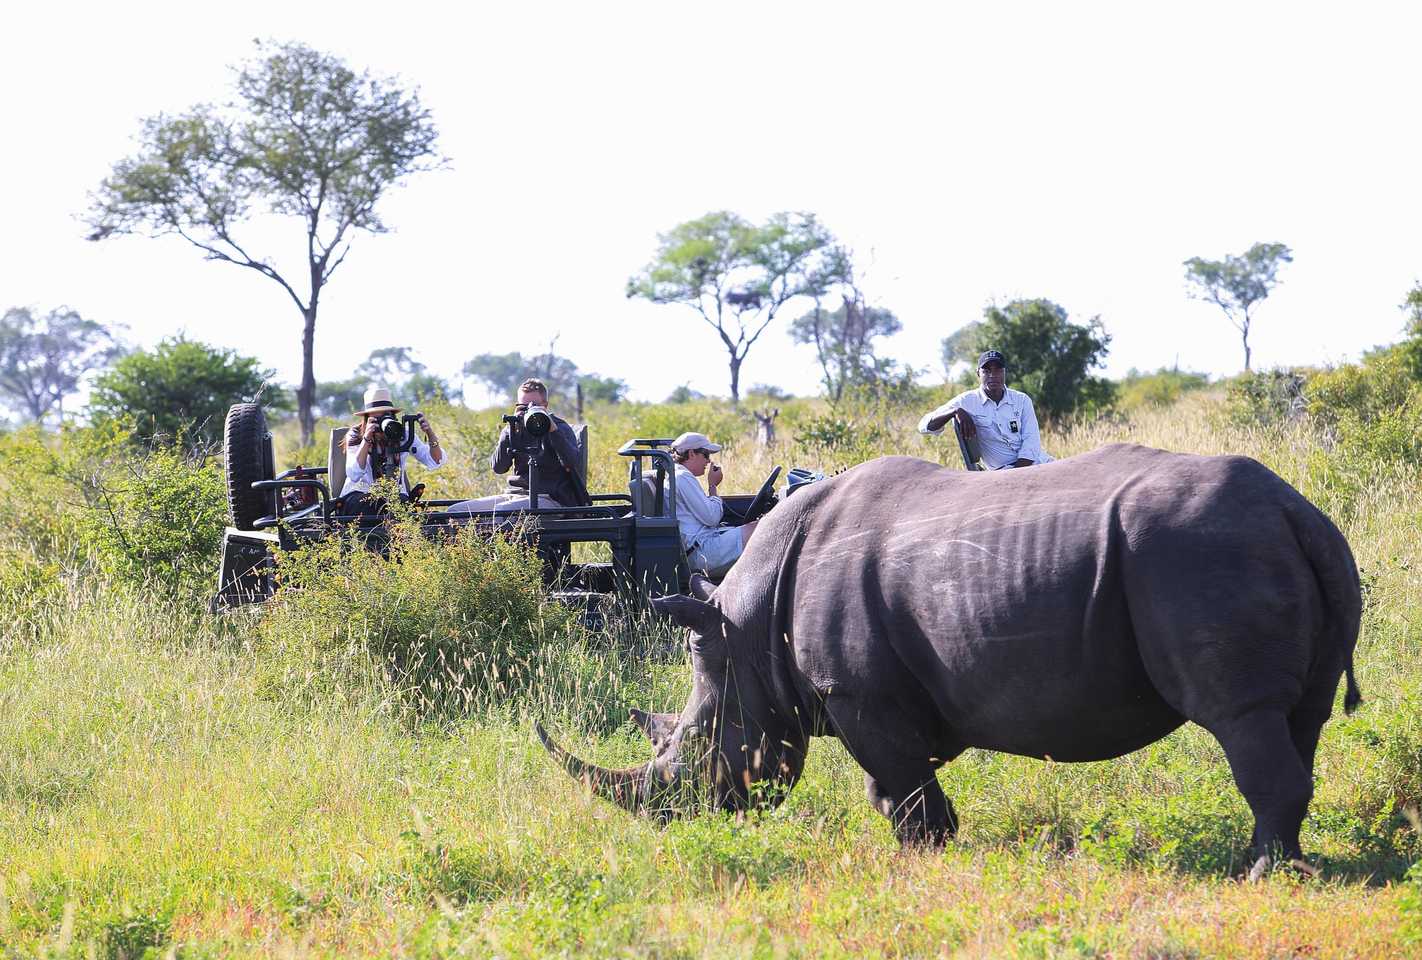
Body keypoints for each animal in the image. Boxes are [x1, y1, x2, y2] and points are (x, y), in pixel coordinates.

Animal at [539, 445, 1363, 876]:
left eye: (699, 747)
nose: (678, 824)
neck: (746, 632)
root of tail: (1296, 511)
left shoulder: (855, 690)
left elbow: (899, 777)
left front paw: (922, 854)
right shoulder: (886, 689)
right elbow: (893, 779)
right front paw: (926, 845)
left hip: (1200, 556)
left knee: (1242, 716)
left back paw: (1260, 876)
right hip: (1275, 547)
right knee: (1301, 717)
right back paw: (1287, 865)